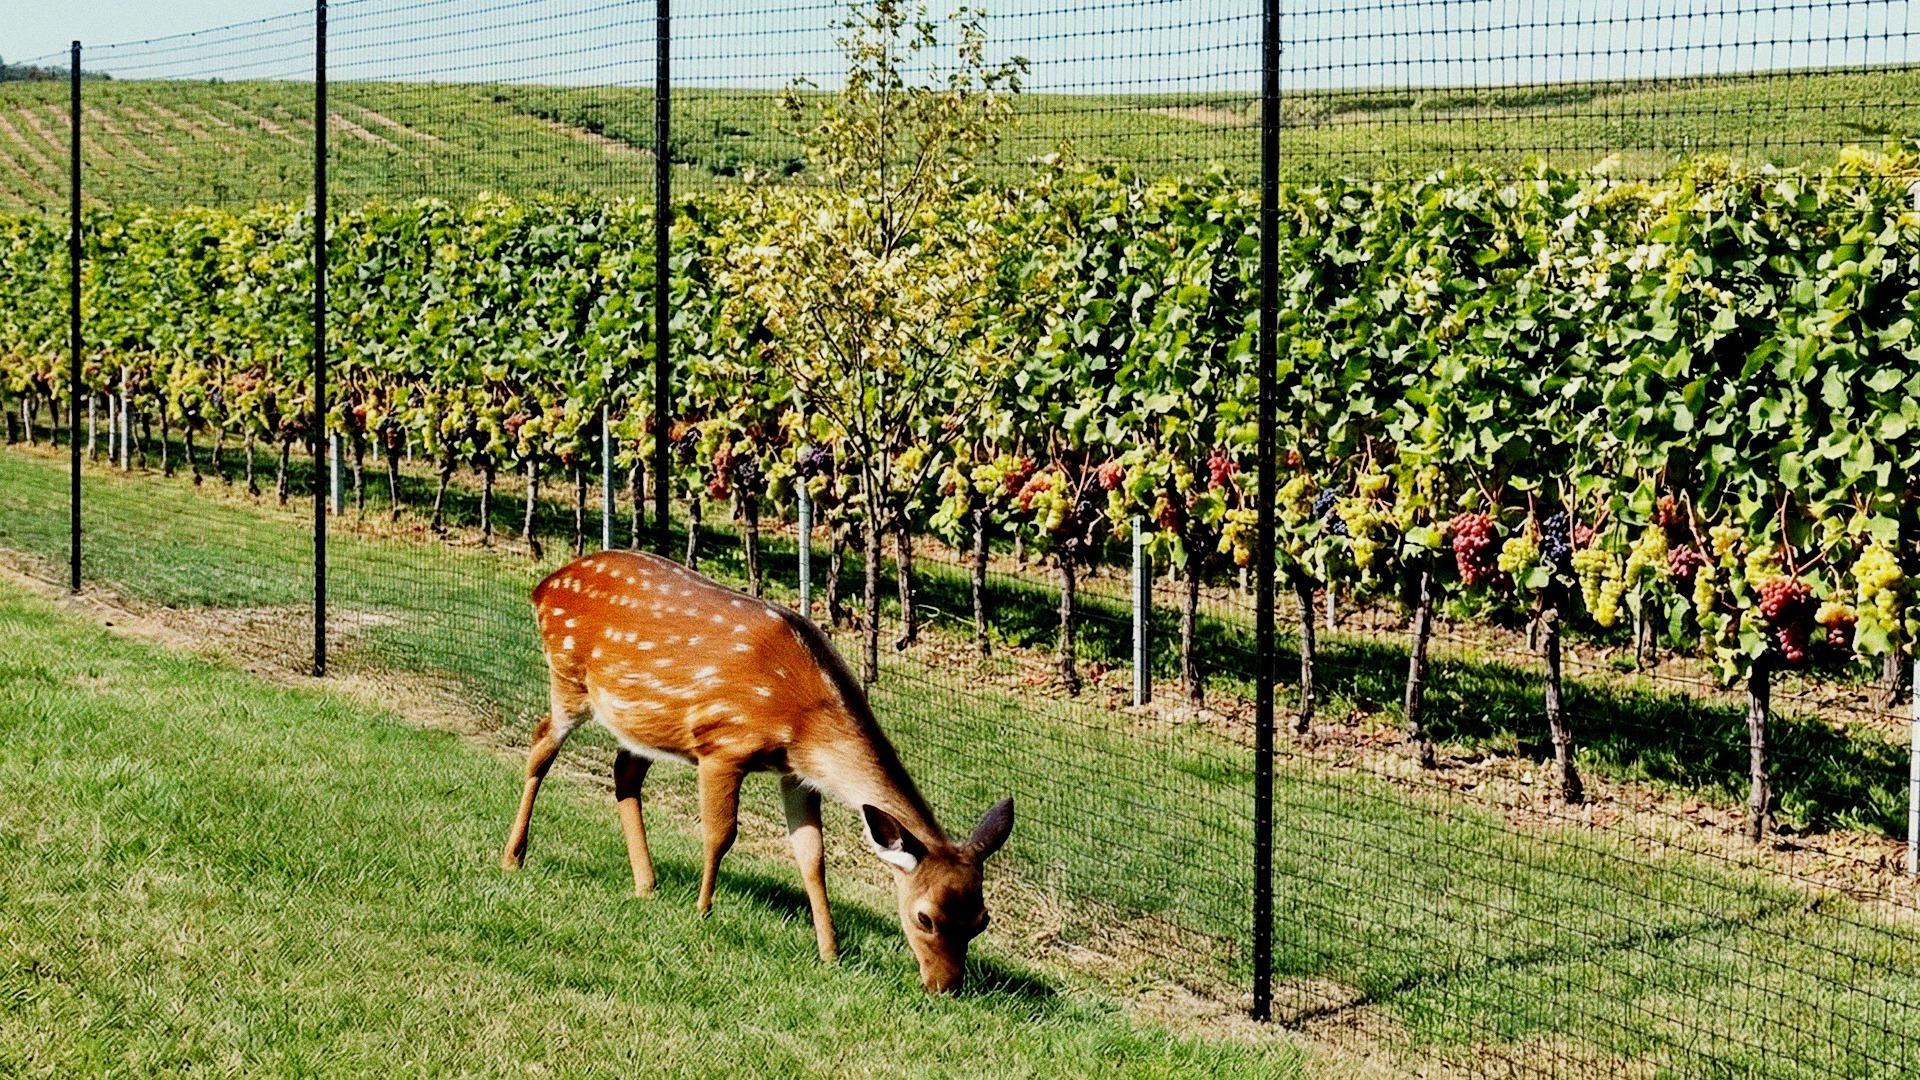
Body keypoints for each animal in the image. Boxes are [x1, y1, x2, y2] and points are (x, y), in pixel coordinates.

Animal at [502, 549, 1014, 994]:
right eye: (924, 917)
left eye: (982, 920)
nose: (945, 987)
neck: (802, 722)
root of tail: (544, 586)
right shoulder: (722, 744)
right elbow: (720, 834)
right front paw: (703, 912)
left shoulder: (797, 775)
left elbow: (812, 858)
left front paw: (830, 951)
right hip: (569, 677)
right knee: (541, 744)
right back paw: (514, 856)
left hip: (640, 720)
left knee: (625, 771)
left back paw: (646, 885)